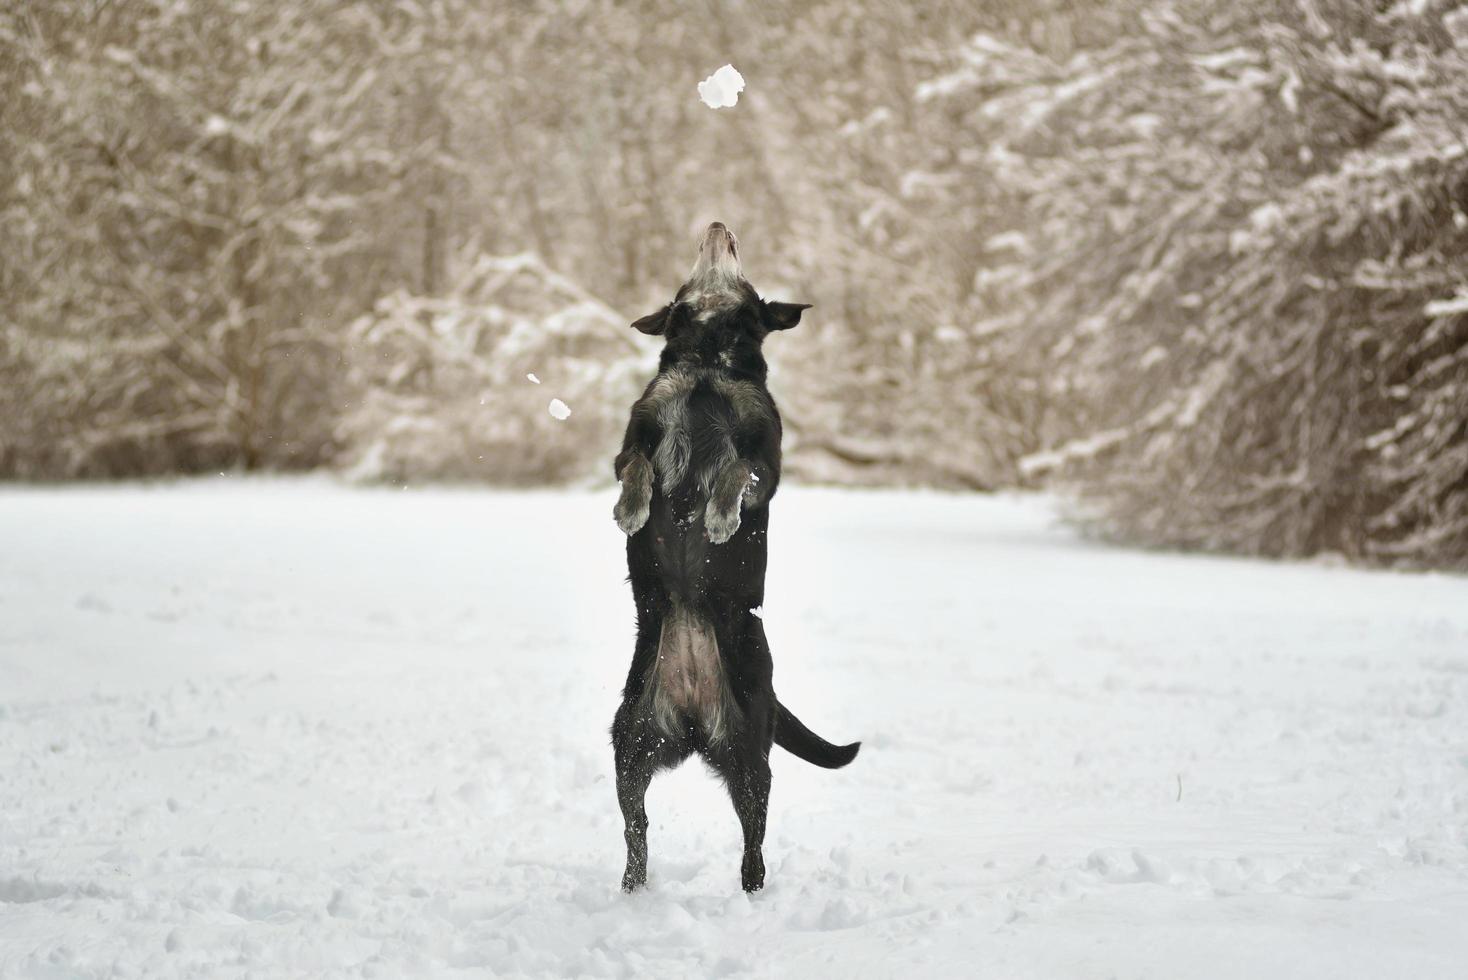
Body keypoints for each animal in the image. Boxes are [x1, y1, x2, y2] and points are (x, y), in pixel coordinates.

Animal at [610, 224, 857, 897]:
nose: (720, 226)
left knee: (754, 841)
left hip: (752, 755)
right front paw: (631, 511)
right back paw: (632, 886)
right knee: (636, 828)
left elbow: (734, 472)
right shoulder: (635, 434)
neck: (707, 366)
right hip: (628, 744)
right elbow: (637, 467)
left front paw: (719, 519)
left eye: (743, 268)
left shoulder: (765, 459)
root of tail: (695, 724)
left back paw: (751, 891)